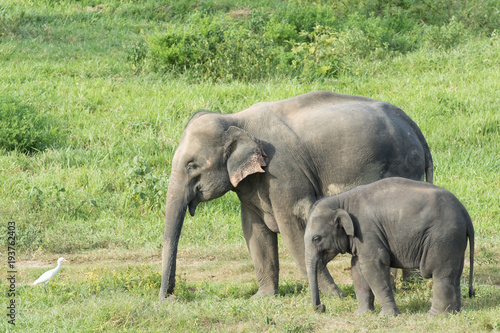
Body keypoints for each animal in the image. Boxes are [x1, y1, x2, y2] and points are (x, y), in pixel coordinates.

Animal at [158, 89, 432, 300]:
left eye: (191, 166)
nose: (170, 298)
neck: (236, 119)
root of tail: (415, 126)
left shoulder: (283, 172)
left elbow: (293, 227)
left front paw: (336, 297)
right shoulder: (253, 183)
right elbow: (254, 231)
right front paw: (263, 298)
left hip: (402, 164)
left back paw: (403, 286)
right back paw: (407, 286)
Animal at [306, 176, 474, 314]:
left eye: (316, 238)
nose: (321, 307)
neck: (341, 200)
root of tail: (465, 213)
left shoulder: (367, 231)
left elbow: (373, 265)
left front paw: (387, 315)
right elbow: (357, 267)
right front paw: (362, 314)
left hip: (443, 237)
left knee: (440, 273)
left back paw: (434, 316)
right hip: (455, 240)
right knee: (454, 275)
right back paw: (455, 312)